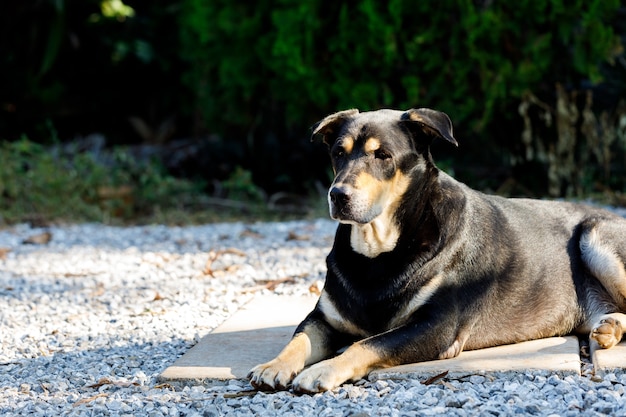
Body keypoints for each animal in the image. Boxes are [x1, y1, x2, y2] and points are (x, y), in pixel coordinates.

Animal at [246, 108, 620, 394]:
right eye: (339, 153)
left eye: (382, 156)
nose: (338, 195)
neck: (378, 250)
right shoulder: (324, 317)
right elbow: (300, 338)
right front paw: (273, 365)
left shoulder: (436, 327)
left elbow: (365, 343)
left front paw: (322, 370)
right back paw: (610, 327)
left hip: (595, 236)